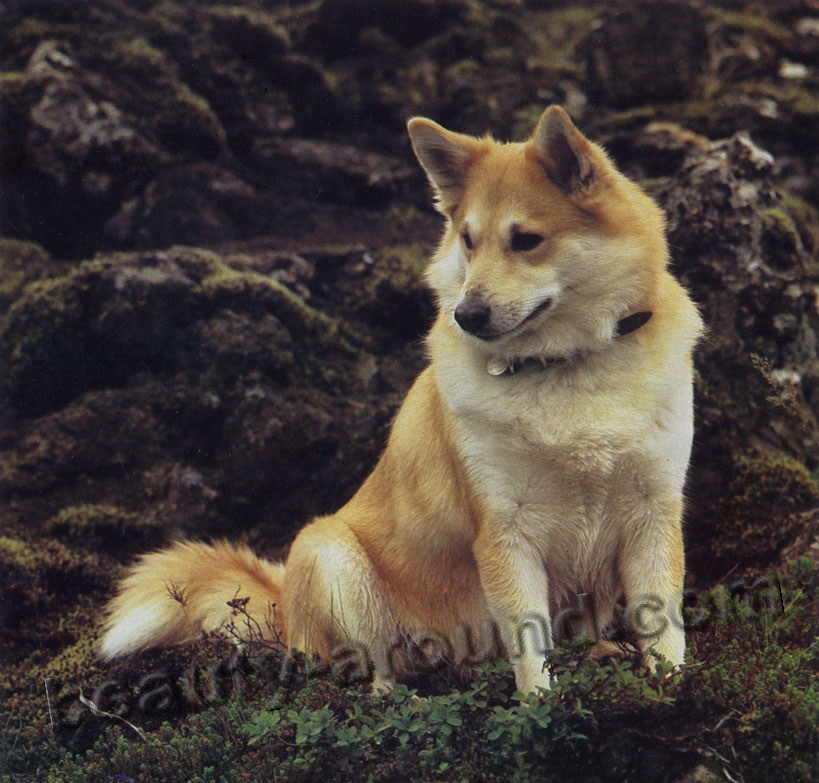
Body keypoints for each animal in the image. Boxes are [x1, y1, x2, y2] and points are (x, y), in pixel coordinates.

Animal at [99, 107, 700, 696]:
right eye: (468, 240)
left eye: (526, 239)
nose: (467, 315)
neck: (564, 367)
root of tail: (283, 609)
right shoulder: (506, 534)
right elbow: (531, 645)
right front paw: (541, 707)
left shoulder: (654, 515)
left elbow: (661, 621)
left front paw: (672, 686)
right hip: (334, 559)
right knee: (374, 672)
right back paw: (403, 694)